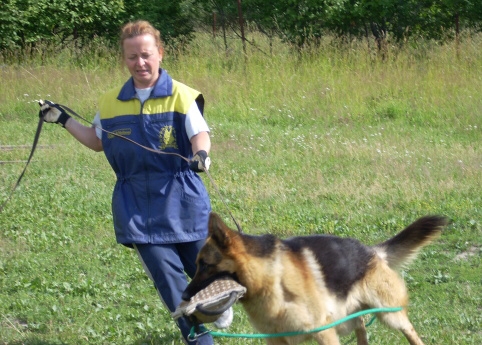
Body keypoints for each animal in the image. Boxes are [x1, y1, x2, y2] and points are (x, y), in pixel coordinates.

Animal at [184, 211, 448, 342]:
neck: (272, 279)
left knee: (410, 331)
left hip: (389, 314)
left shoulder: (324, 332)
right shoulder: (278, 340)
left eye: (205, 265)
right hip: (350, 315)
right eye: (196, 265)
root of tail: (372, 252)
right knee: (361, 328)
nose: (184, 296)